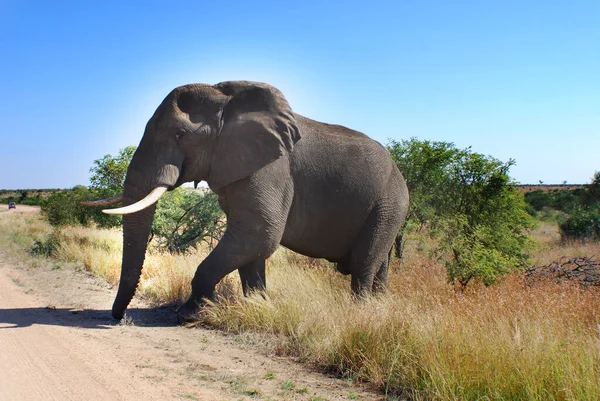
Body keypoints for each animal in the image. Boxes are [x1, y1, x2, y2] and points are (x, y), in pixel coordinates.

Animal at [88, 81, 408, 322]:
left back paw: (362, 314)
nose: (118, 317)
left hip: (389, 204)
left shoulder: (272, 169)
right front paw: (259, 307)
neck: (227, 102)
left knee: (365, 262)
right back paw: (381, 308)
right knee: (379, 263)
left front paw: (190, 314)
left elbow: (259, 233)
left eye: (180, 134)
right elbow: (250, 243)